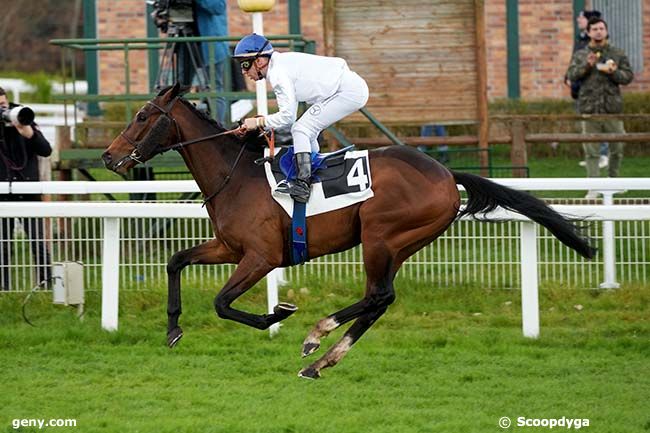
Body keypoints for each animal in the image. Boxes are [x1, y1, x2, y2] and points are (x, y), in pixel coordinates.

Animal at [102, 82, 592, 376]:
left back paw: (316, 336)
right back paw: (321, 361)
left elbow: (223, 303)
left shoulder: (261, 256)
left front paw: (277, 314)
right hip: (400, 245)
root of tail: (445, 173)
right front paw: (172, 329)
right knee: (380, 300)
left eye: (143, 116)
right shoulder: (229, 247)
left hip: (381, 237)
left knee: (378, 296)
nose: (109, 156)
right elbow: (175, 260)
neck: (235, 176)